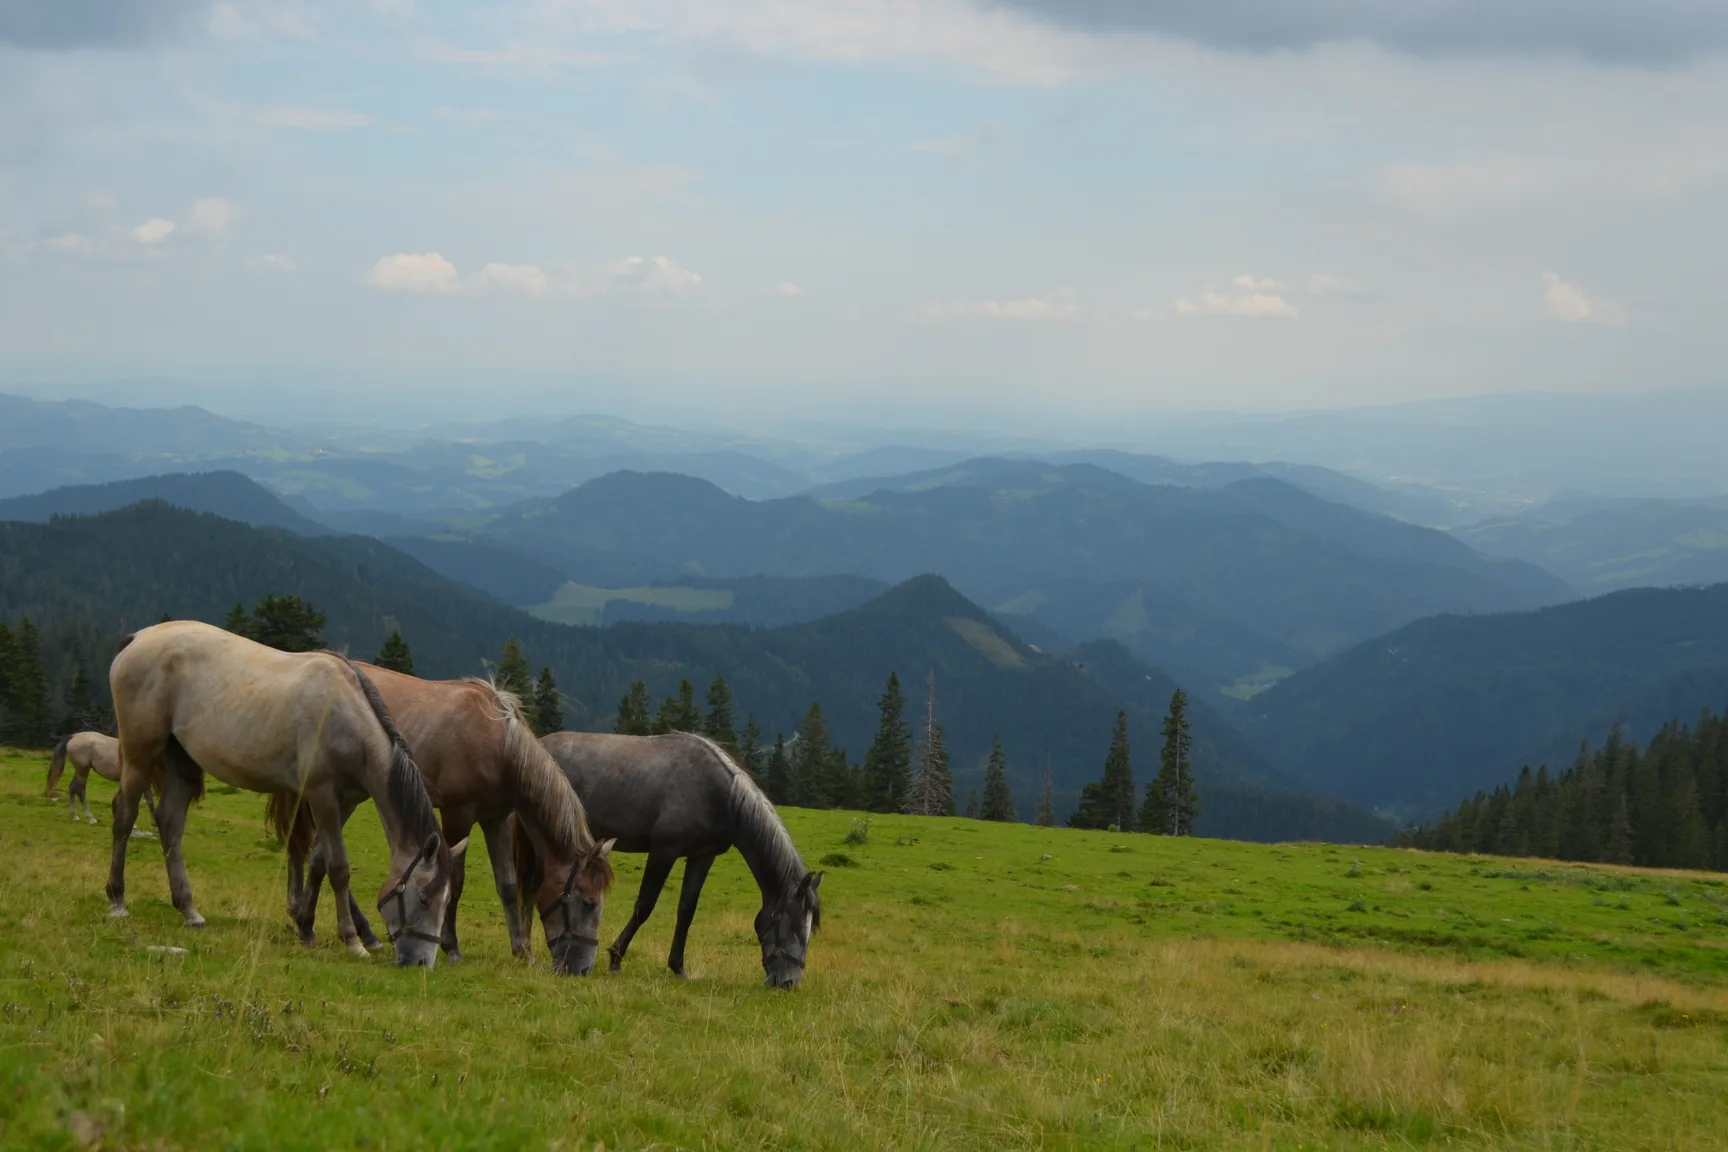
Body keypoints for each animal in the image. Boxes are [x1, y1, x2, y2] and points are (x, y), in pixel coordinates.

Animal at [105, 621, 463, 967]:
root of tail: (139, 638)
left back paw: (189, 910)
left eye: (446, 900)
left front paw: (306, 929)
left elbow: (318, 860)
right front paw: (352, 940)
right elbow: (339, 867)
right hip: (140, 753)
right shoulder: (322, 795)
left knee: (170, 824)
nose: (421, 962)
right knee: (124, 814)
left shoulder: (344, 802)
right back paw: (118, 900)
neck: (345, 716)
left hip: (180, 762)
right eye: (424, 898)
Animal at [273, 670, 618, 981]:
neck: (500, 742)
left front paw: (522, 951)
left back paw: (313, 925)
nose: (583, 969)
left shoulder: (498, 819)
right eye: (588, 903)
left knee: (319, 856)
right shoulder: (458, 814)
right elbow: (456, 881)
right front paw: (451, 947)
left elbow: (507, 886)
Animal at [539, 735, 822, 987]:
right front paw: (616, 959)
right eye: (793, 926)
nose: (789, 982)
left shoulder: (702, 856)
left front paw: (678, 967)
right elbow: (644, 906)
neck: (720, 796)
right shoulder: (664, 851)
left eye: (810, 929)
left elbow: (686, 911)